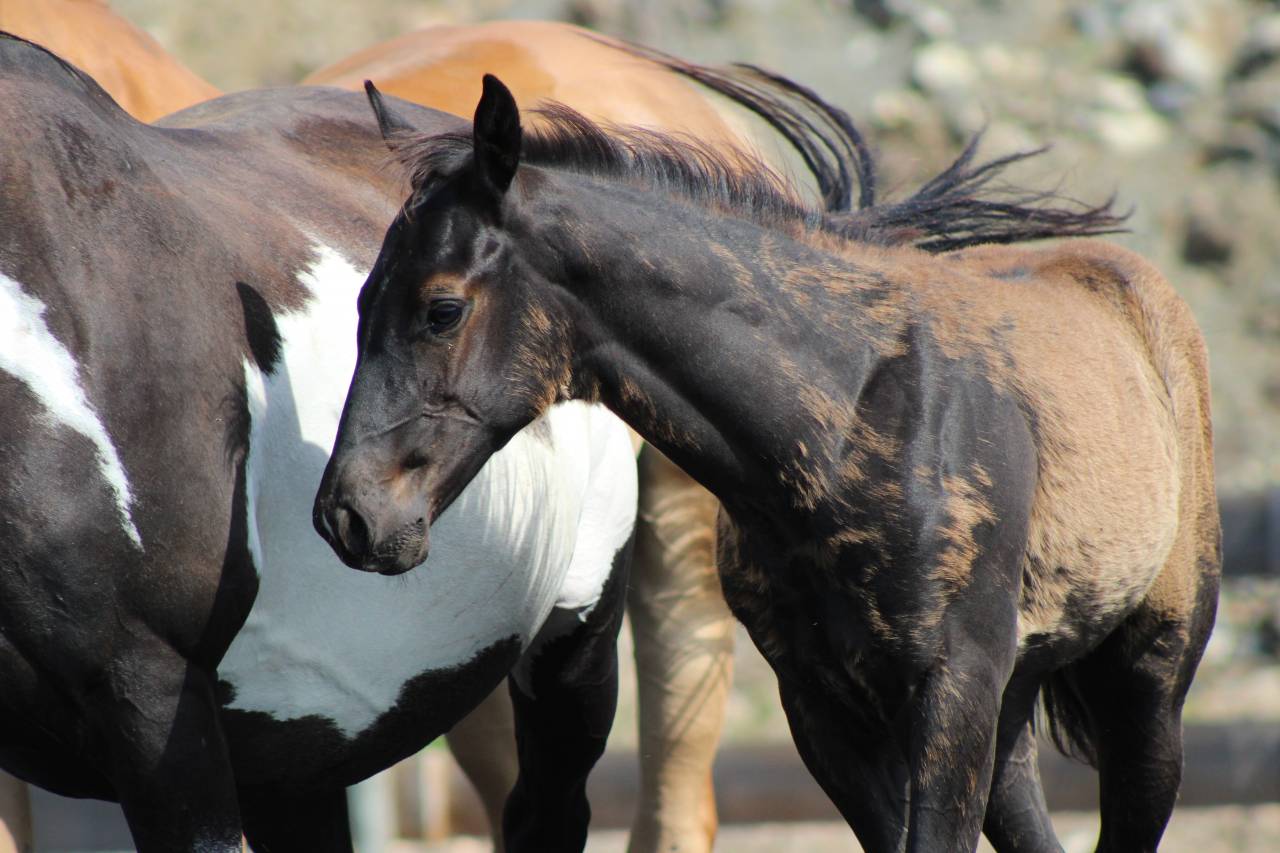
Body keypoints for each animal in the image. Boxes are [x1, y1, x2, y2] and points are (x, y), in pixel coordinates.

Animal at [317, 76, 1221, 853]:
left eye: (442, 308)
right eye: (361, 299)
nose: (349, 515)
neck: (855, 420)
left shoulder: (952, 684)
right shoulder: (821, 703)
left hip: (1147, 680)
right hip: (1016, 702)